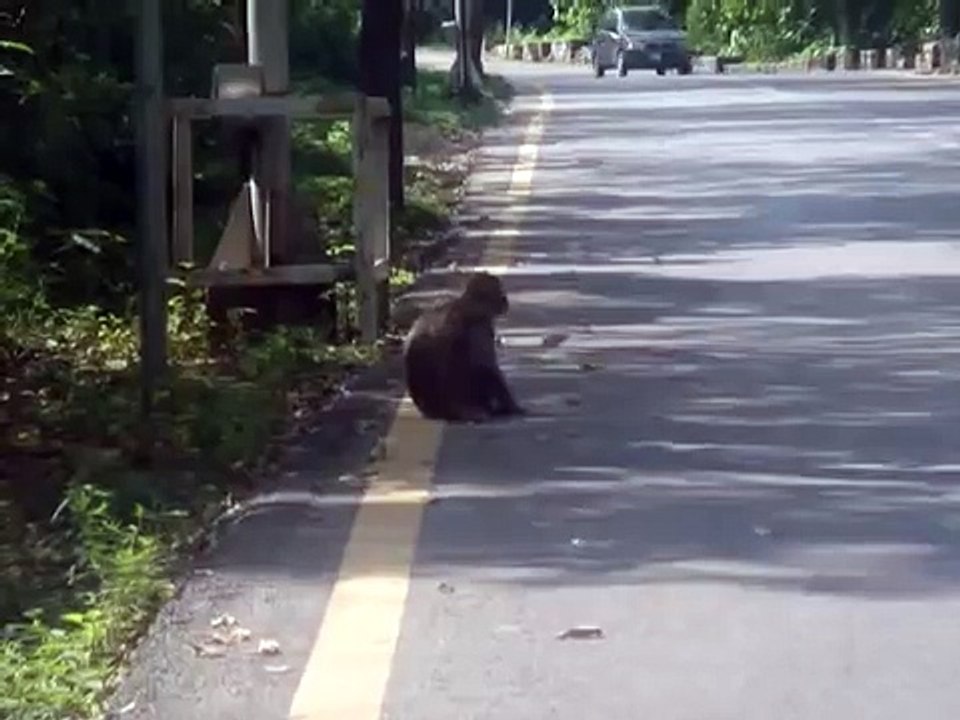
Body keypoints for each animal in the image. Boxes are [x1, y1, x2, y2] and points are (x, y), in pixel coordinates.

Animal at [403, 272, 525, 423]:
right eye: (500, 291)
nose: (505, 300)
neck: (470, 306)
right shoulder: (480, 328)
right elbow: (486, 366)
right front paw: (512, 405)